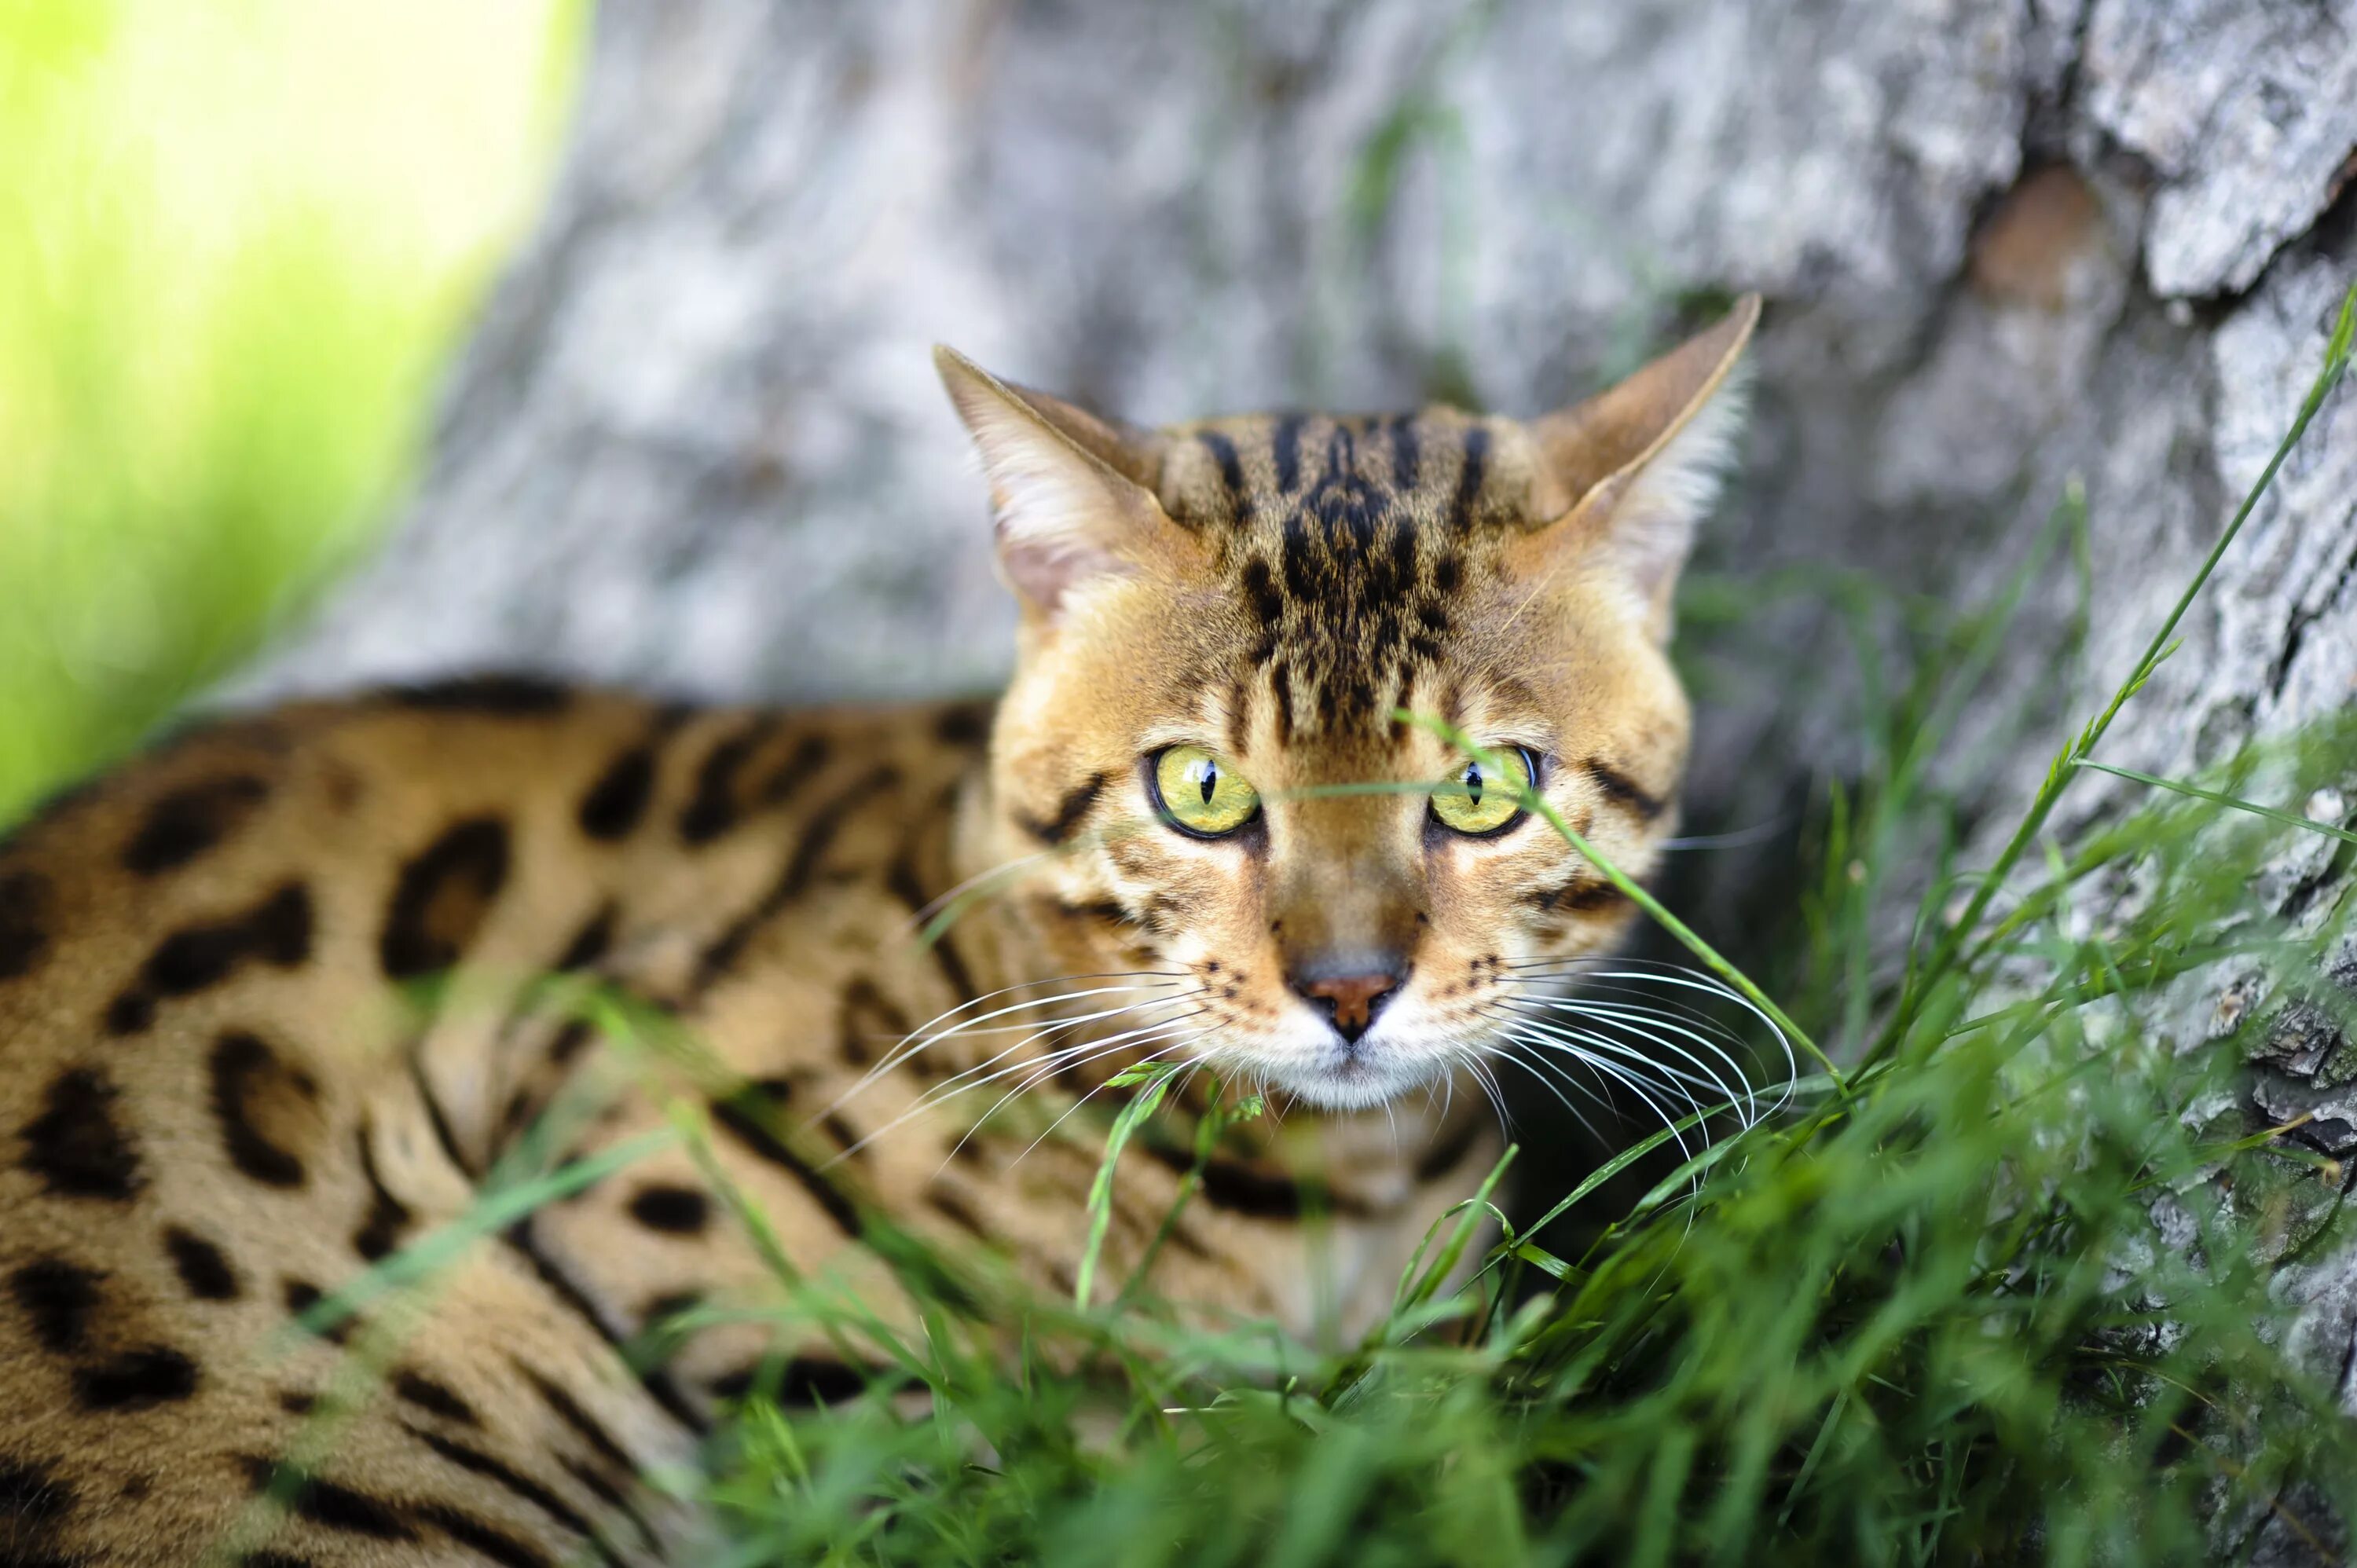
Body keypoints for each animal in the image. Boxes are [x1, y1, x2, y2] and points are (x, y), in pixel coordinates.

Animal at [0, 297, 1754, 1565]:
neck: (1340, 1199)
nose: (1347, 985)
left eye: (1481, 788)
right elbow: (1042, 1443)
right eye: (1198, 789)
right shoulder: (646, 1159)